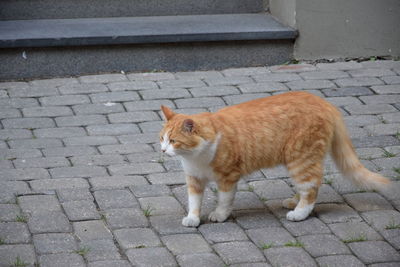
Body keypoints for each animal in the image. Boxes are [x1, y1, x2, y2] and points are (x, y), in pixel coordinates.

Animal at [159, 91, 388, 227]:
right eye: (161, 139)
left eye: (173, 141)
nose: (162, 150)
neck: (196, 156)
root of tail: (323, 101)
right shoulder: (194, 179)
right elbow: (194, 201)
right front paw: (193, 218)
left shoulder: (228, 177)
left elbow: (224, 200)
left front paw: (220, 214)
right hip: (298, 162)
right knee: (308, 186)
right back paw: (294, 202)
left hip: (301, 160)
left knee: (311, 188)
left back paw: (299, 213)